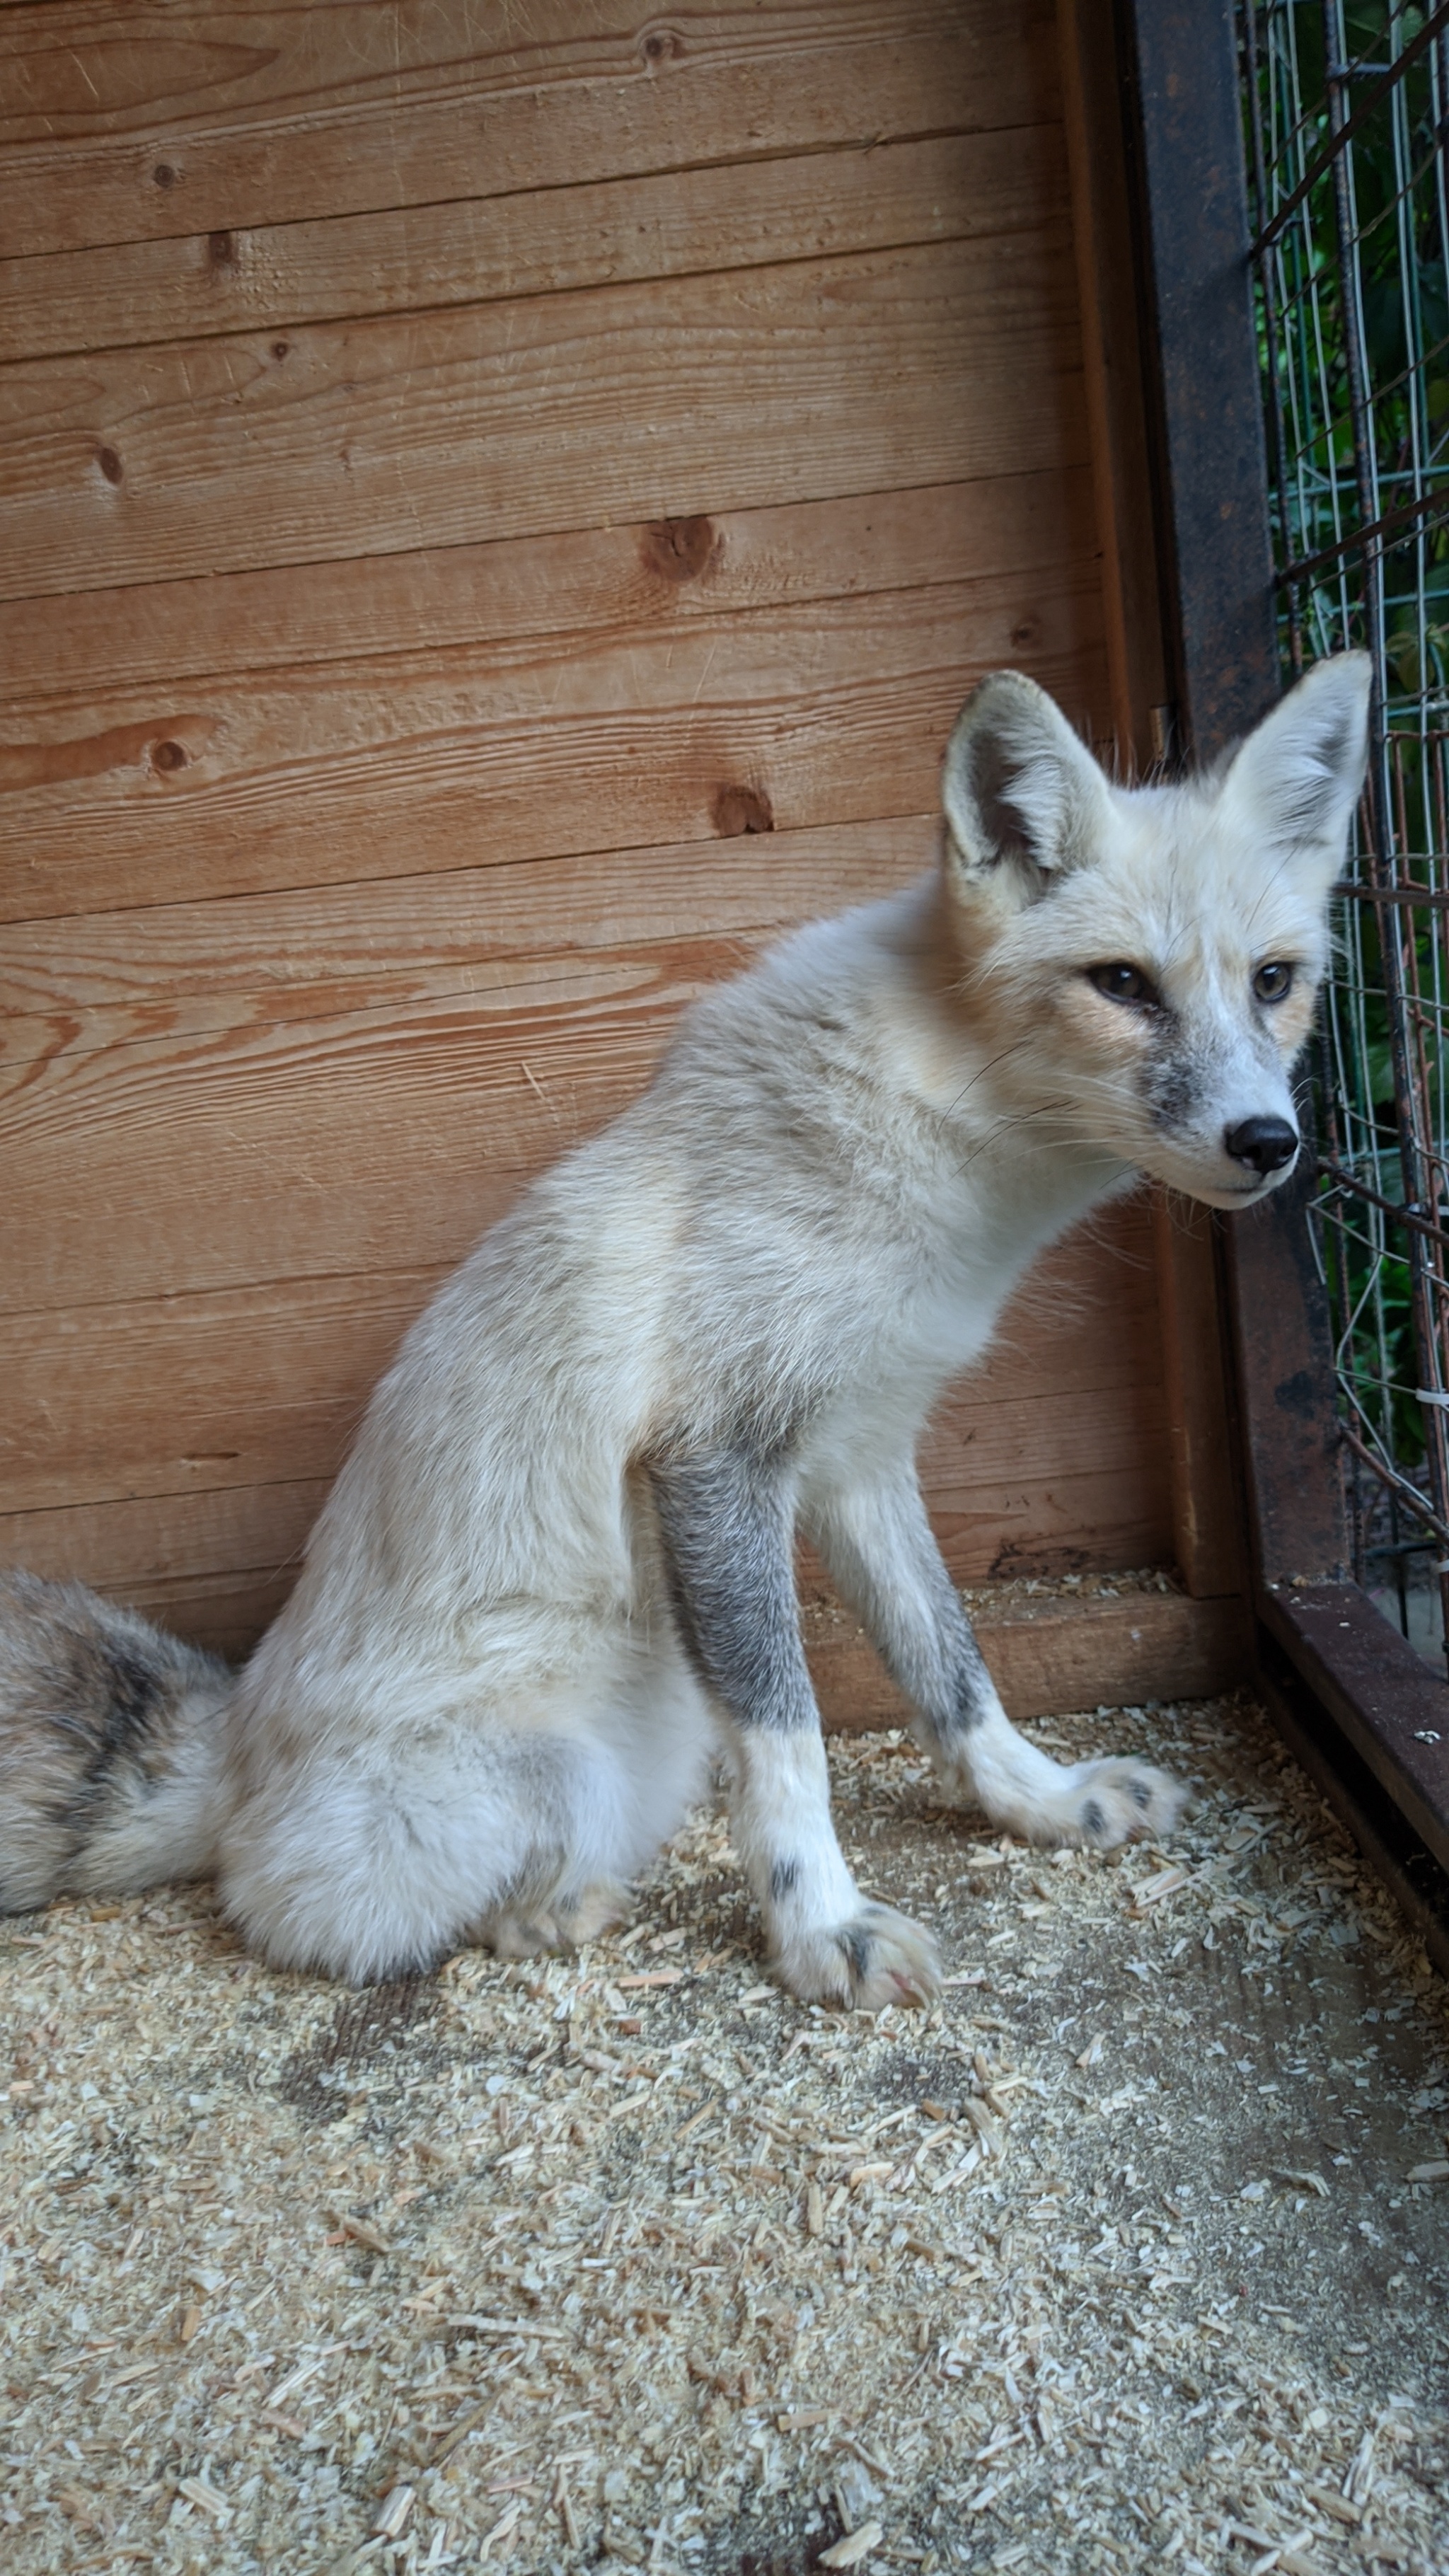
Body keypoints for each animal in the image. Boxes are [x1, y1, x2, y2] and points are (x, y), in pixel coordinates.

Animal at [0, 654, 1361, 1999]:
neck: (935, 1148)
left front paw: (1036, 1802)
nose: (1267, 1142)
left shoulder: (860, 1456)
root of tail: (229, 1744)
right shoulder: (716, 1458)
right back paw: (560, 1914)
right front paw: (820, 1928)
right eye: (1122, 984)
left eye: (1273, 982)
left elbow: (952, 1670)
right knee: (364, 1921)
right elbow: (793, 1736)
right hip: (551, 1775)